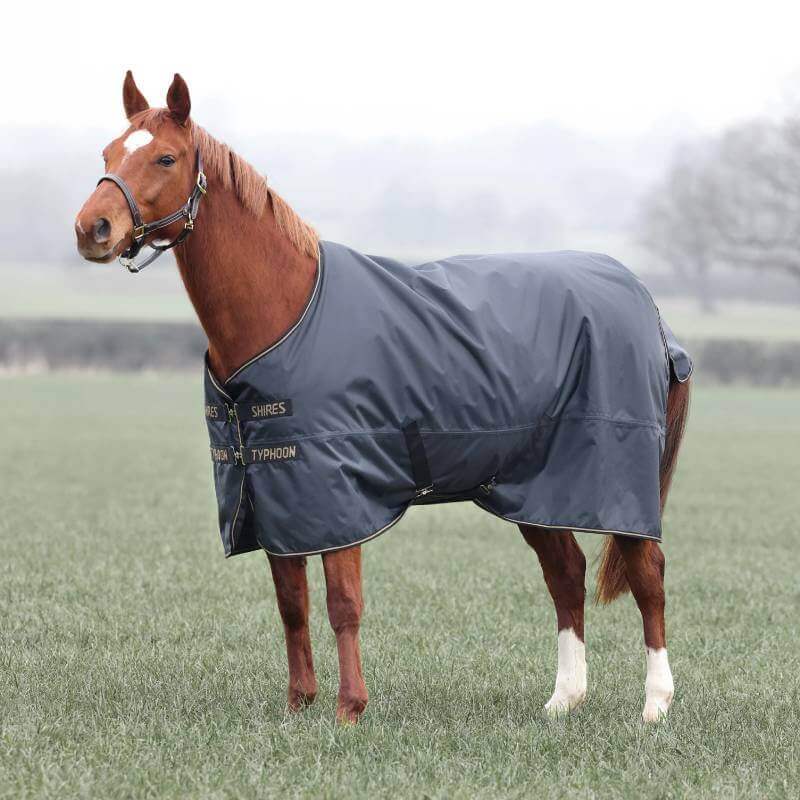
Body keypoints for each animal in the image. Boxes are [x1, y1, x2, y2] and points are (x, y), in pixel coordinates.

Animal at [75, 72, 691, 724]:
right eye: (107, 154)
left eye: (165, 158)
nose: (92, 230)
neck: (288, 311)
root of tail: (645, 302)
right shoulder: (274, 491)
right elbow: (292, 603)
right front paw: (299, 704)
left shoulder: (336, 492)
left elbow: (343, 602)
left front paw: (350, 709)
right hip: (537, 485)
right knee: (566, 573)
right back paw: (563, 700)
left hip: (615, 478)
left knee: (648, 575)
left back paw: (655, 705)